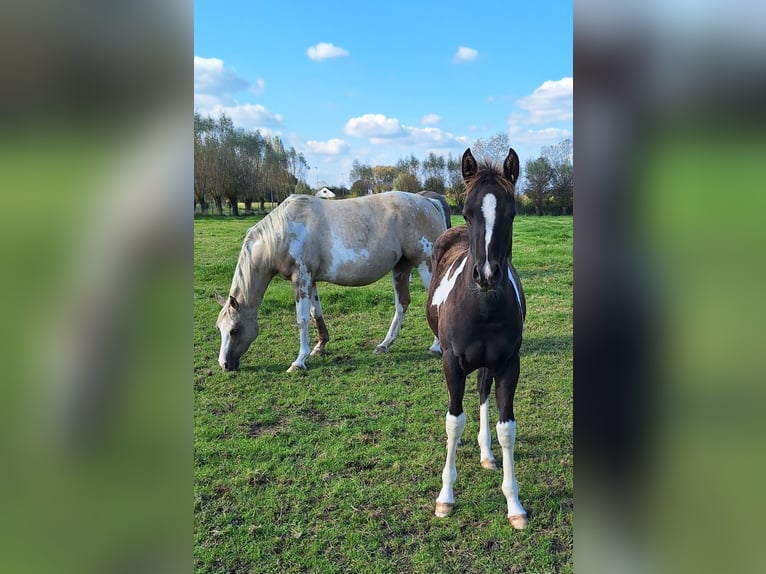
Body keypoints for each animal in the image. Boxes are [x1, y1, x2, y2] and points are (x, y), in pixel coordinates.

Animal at [214, 192, 450, 374]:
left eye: (234, 330)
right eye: (220, 328)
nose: (224, 365)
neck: (283, 232)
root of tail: (428, 202)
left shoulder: (300, 279)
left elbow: (302, 320)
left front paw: (299, 361)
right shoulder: (310, 281)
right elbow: (315, 313)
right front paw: (320, 347)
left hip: (424, 265)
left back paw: (435, 347)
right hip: (401, 267)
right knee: (402, 304)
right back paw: (384, 345)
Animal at [426, 147, 528, 532]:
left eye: (511, 212)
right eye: (468, 212)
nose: (486, 276)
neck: (483, 308)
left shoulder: (509, 364)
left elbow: (506, 429)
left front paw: (514, 504)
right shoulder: (452, 364)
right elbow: (454, 422)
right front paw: (445, 498)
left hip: (489, 364)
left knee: (484, 392)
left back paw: (486, 454)